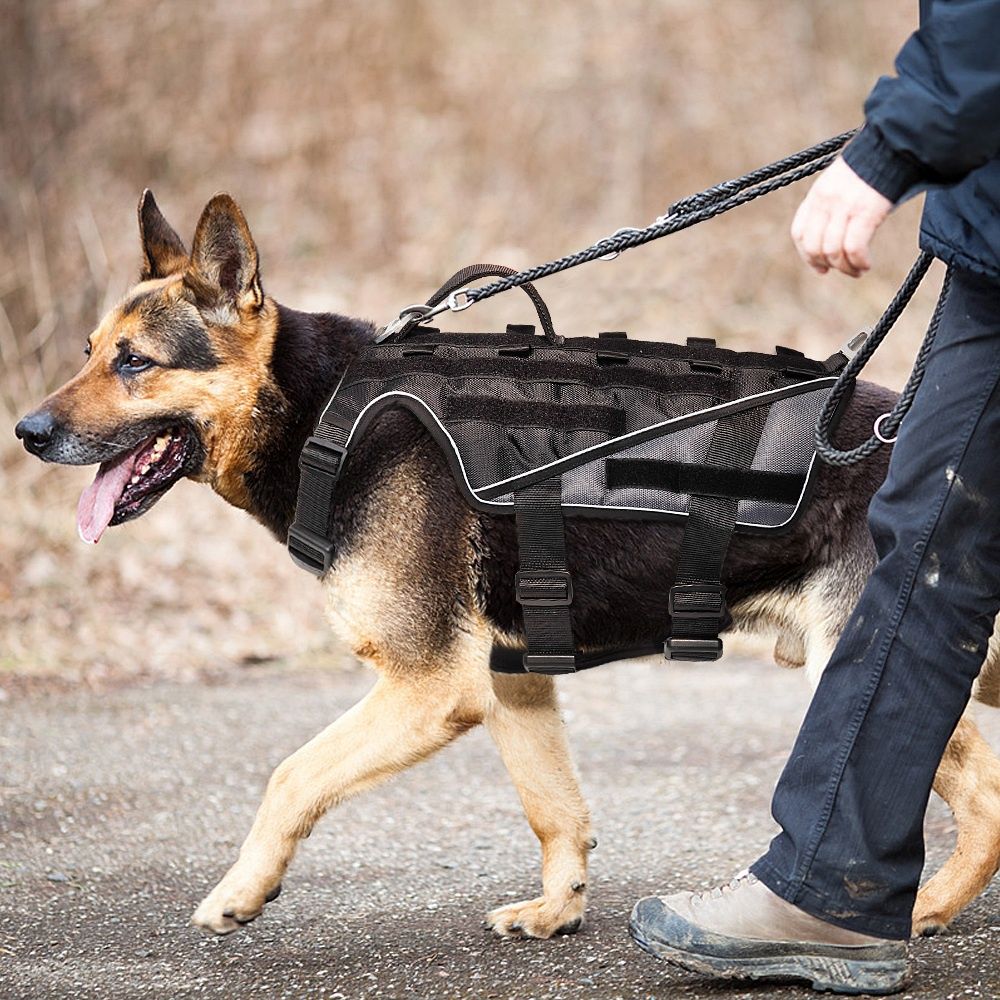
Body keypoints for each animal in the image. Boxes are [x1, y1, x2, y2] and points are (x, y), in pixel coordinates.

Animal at [13, 193, 1000, 936]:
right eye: (88, 354)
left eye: (135, 363)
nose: (25, 432)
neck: (323, 410)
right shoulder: (509, 681)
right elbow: (554, 809)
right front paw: (557, 911)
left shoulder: (428, 686)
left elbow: (289, 774)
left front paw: (240, 890)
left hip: (858, 662)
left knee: (985, 797)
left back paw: (923, 909)